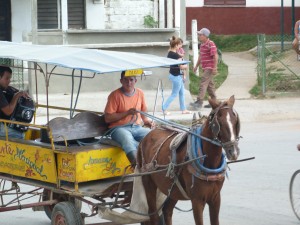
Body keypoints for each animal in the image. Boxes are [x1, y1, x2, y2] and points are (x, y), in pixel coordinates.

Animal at [137, 95, 240, 225]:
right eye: (219, 123)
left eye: (235, 122)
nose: (234, 152)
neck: (209, 163)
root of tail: (147, 135)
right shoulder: (197, 200)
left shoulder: (216, 198)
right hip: (148, 182)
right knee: (153, 215)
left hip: (173, 190)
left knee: (167, 210)